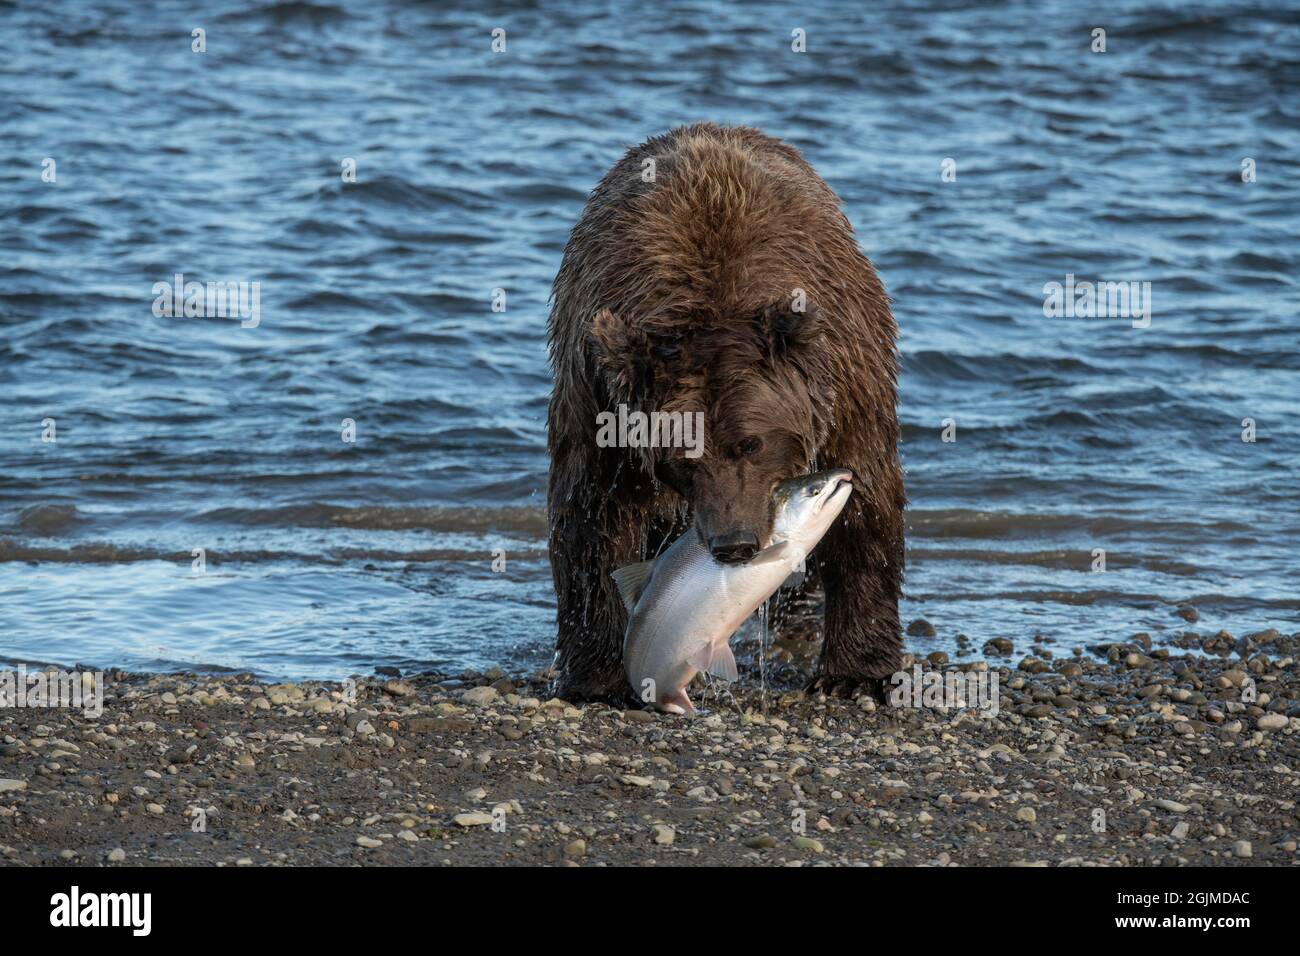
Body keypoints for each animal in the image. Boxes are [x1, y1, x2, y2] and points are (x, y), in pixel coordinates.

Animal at [546, 123, 905, 703]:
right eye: (678, 455)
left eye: (751, 443)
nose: (734, 545)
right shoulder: (601, 402)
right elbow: (593, 517)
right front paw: (597, 676)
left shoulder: (845, 381)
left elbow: (866, 510)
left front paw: (857, 674)